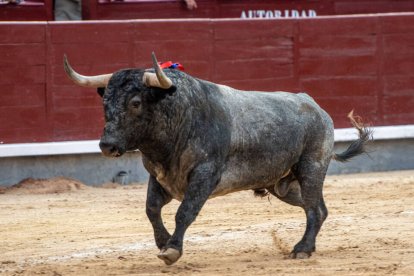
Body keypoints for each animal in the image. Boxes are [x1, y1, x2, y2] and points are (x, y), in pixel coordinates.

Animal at [64, 52, 372, 266]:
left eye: (135, 103)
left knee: (313, 209)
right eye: (105, 104)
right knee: (318, 208)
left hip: (311, 168)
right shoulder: (159, 177)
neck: (180, 117)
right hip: (284, 185)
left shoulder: (205, 175)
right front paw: (163, 242)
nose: (107, 145)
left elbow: (184, 211)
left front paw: (172, 250)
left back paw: (301, 249)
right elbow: (151, 209)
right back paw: (308, 247)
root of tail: (317, 107)